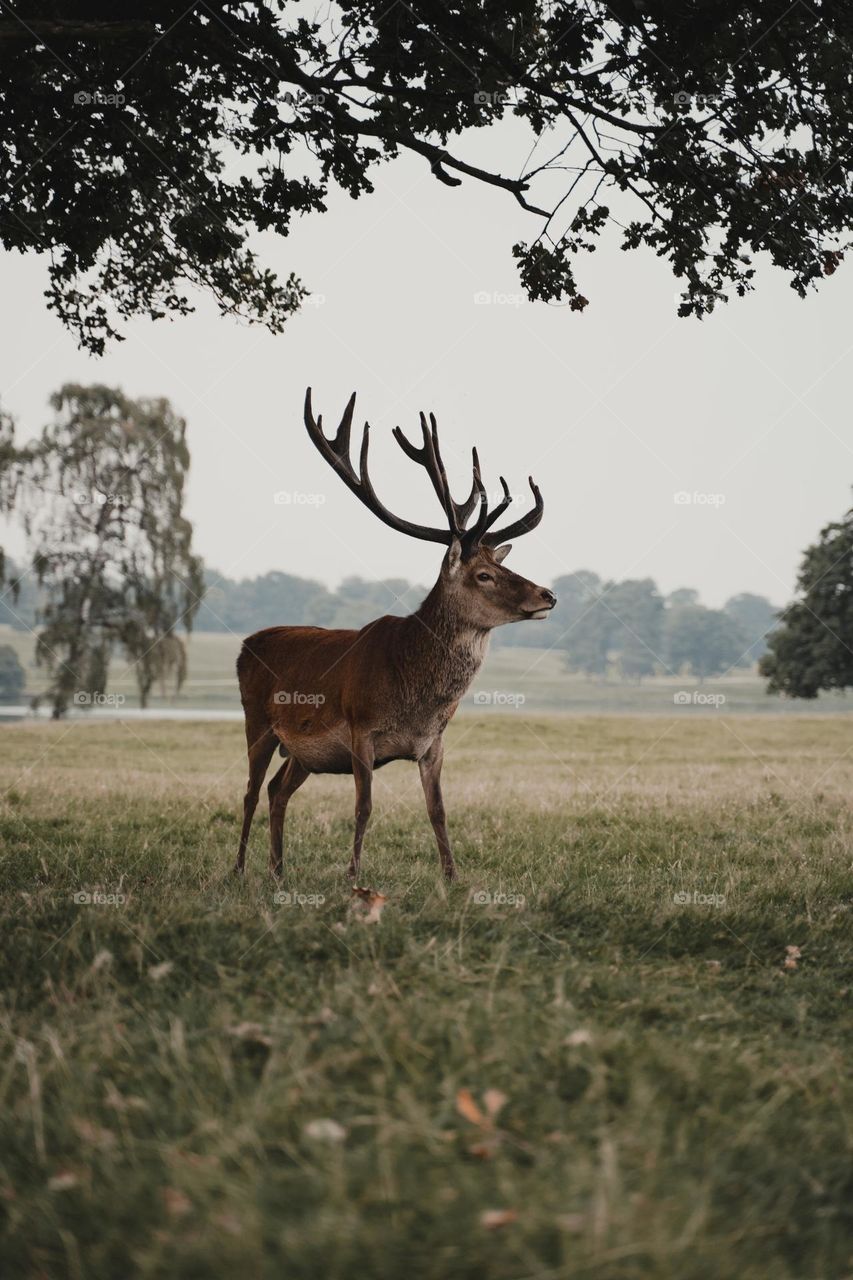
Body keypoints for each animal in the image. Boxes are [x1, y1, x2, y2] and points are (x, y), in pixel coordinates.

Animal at [234, 389, 556, 883]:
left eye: (503, 565)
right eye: (483, 575)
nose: (548, 594)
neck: (414, 697)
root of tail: (246, 645)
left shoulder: (433, 744)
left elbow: (438, 810)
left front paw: (452, 877)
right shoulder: (360, 731)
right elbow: (364, 808)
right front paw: (352, 878)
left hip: (303, 754)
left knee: (276, 790)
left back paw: (278, 871)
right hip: (257, 720)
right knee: (250, 790)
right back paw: (238, 870)